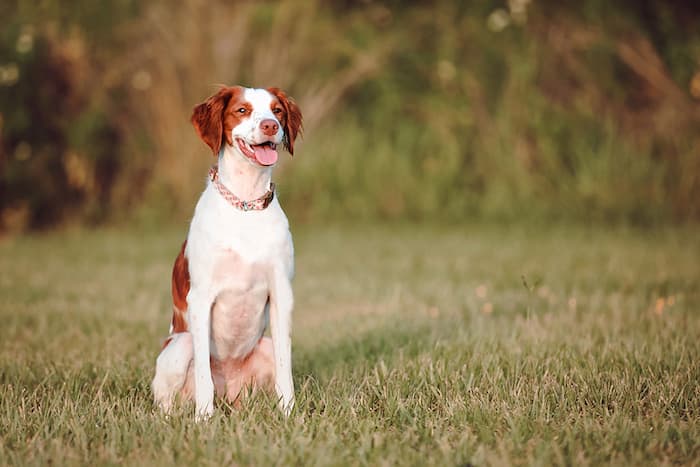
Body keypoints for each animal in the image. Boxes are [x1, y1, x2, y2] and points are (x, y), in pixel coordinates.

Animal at [152, 85, 302, 420]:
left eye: (277, 110)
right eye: (242, 110)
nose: (270, 125)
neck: (245, 205)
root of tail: (229, 393)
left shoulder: (281, 293)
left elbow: (286, 371)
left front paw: (289, 414)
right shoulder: (200, 297)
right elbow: (203, 378)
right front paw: (203, 420)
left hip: (263, 347)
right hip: (181, 344)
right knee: (166, 401)